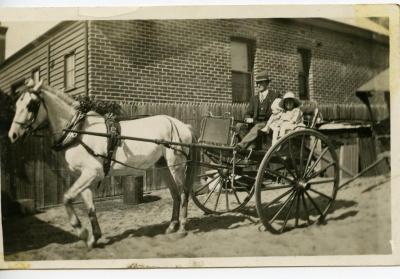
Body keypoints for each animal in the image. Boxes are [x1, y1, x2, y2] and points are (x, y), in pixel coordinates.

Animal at [7, 79, 197, 249]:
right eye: (17, 105)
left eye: (31, 105)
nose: (12, 135)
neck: (78, 131)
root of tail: (182, 125)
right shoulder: (84, 177)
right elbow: (90, 208)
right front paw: (93, 238)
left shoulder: (91, 173)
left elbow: (67, 198)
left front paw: (81, 231)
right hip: (163, 166)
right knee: (175, 194)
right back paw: (172, 225)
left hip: (176, 166)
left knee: (183, 193)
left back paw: (182, 227)